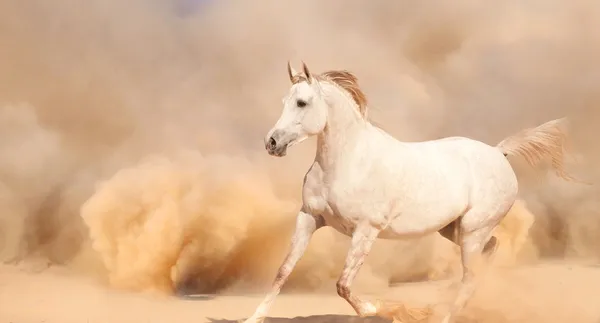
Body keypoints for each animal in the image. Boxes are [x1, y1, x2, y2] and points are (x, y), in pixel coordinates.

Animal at [241, 61, 576, 323]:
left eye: (302, 103)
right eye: (285, 100)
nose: (272, 143)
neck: (347, 160)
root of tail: (498, 152)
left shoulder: (366, 230)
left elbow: (344, 284)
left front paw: (379, 310)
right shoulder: (309, 217)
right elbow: (283, 271)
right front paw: (253, 318)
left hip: (472, 230)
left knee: (470, 277)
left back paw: (444, 317)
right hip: (453, 230)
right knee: (487, 254)